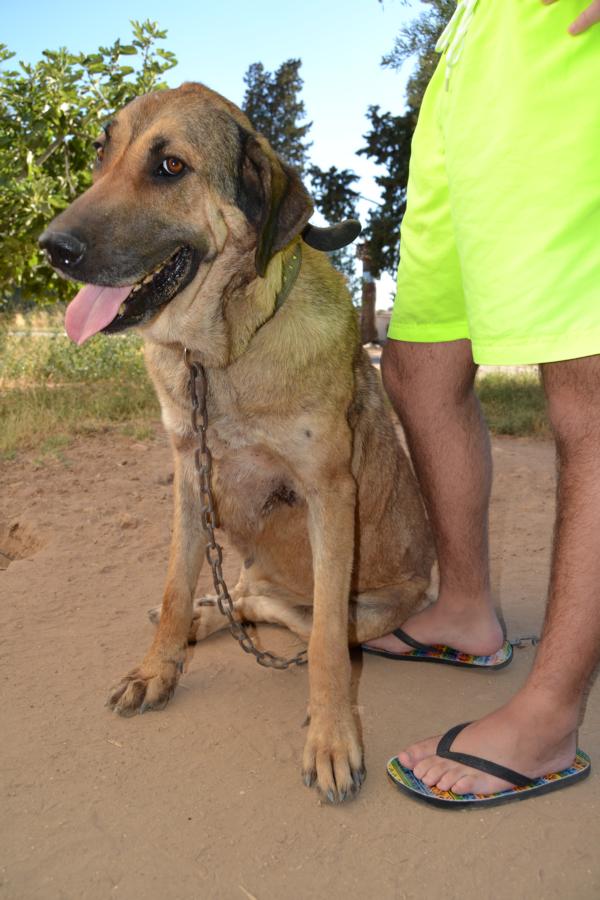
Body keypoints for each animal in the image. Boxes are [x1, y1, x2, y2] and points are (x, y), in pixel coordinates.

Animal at [39, 82, 434, 803]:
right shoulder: (188, 475)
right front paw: (158, 668)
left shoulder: (328, 493)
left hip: (380, 606)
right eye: (102, 152)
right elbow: (174, 587)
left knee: (302, 623)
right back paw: (205, 619)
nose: (52, 247)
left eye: (170, 166)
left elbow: (329, 646)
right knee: (247, 601)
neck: (219, 353)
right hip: (253, 566)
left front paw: (331, 737)